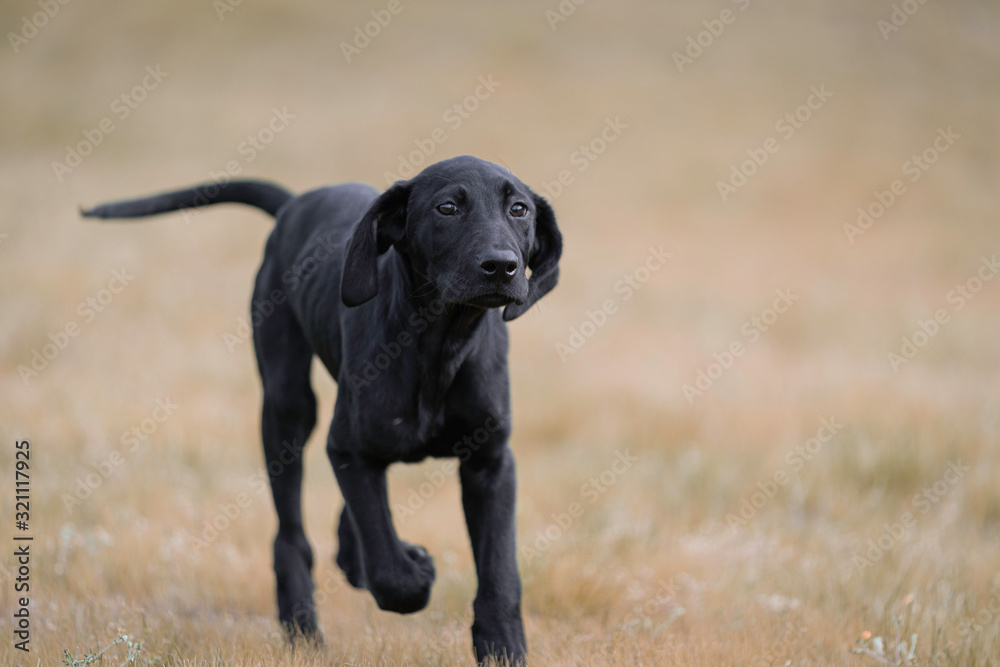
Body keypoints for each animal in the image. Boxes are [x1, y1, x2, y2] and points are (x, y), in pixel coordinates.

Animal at [82, 155, 564, 664]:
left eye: (519, 209)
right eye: (446, 208)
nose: (502, 266)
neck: (442, 344)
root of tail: (295, 202)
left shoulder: (489, 462)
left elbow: (499, 571)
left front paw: (502, 646)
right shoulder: (349, 447)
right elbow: (388, 569)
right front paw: (416, 575)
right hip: (287, 406)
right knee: (291, 536)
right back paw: (303, 629)